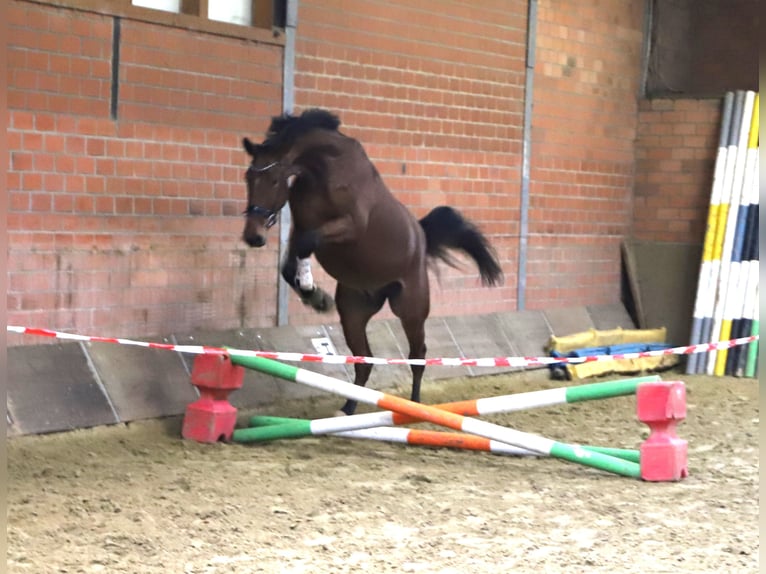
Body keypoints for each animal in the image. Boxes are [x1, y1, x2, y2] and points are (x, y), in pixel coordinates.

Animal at [241, 109, 503, 415]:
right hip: (353, 311)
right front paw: (315, 296)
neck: (324, 170)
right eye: (248, 178)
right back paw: (347, 408)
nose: (253, 237)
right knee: (364, 359)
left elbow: (306, 245)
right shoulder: (301, 227)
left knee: (418, 355)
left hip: (410, 309)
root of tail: (421, 237)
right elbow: (289, 265)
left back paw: (414, 405)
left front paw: (312, 292)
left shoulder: (349, 226)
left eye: (272, 180)